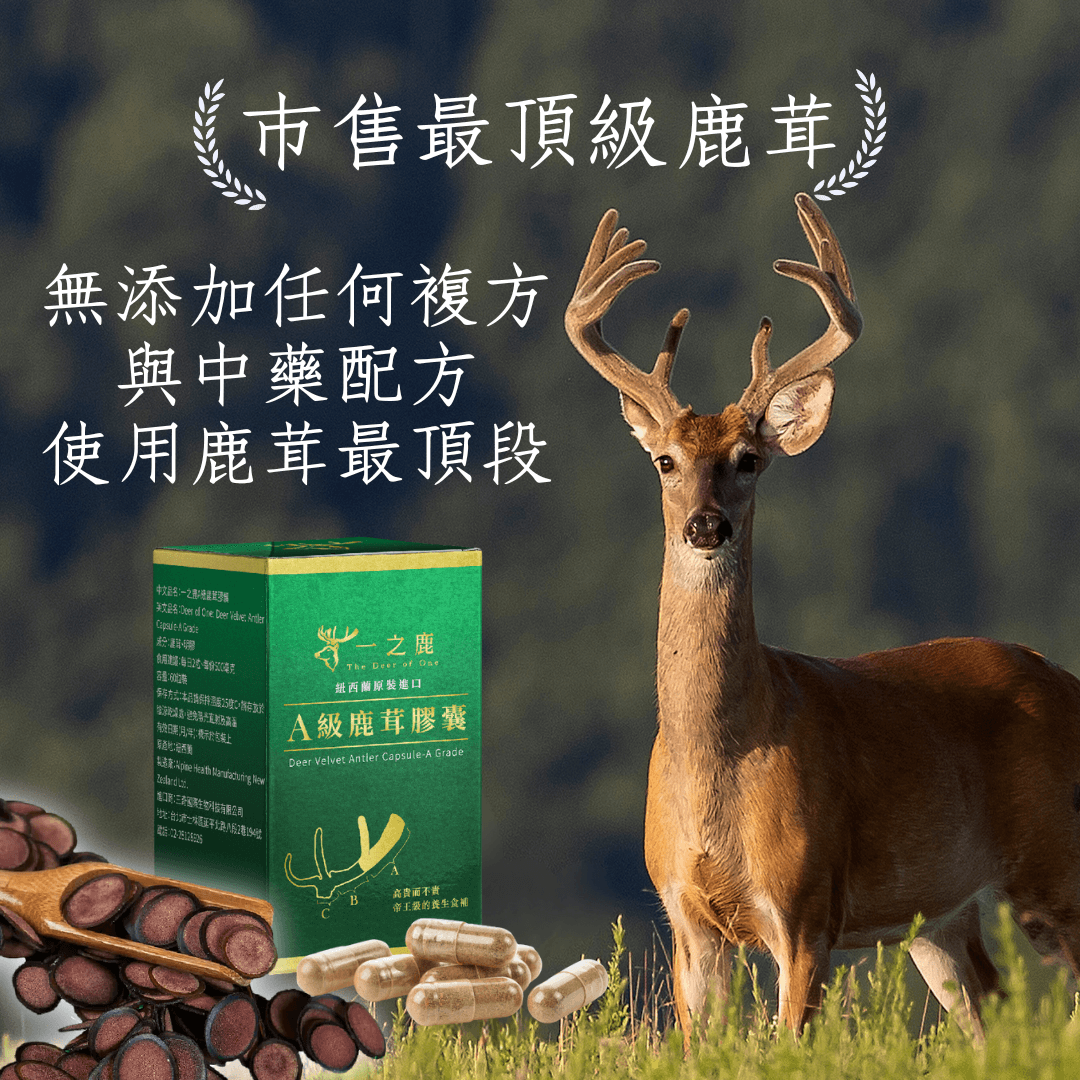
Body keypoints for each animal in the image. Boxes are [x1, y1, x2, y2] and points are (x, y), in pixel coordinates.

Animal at [564, 192, 1080, 1045]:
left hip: (1054, 859)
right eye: (666, 461)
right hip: (939, 915)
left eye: (749, 459)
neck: (720, 762)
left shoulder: (808, 905)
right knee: (990, 1005)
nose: (705, 525)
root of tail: (1065, 679)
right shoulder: (687, 917)